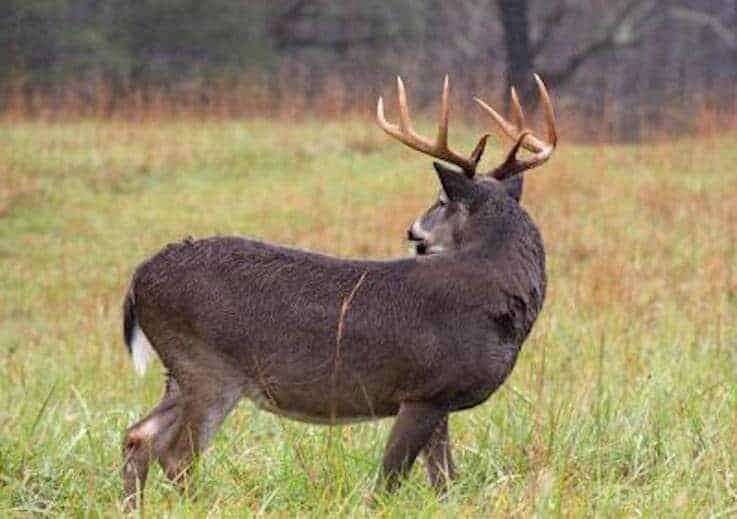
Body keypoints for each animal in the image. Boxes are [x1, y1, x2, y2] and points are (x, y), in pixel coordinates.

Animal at [121, 72, 556, 512]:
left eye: (440, 201)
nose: (412, 231)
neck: (496, 297)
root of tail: (139, 278)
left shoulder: (440, 399)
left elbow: (445, 484)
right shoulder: (424, 390)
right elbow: (388, 482)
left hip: (181, 370)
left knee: (138, 437)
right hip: (207, 366)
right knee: (176, 454)